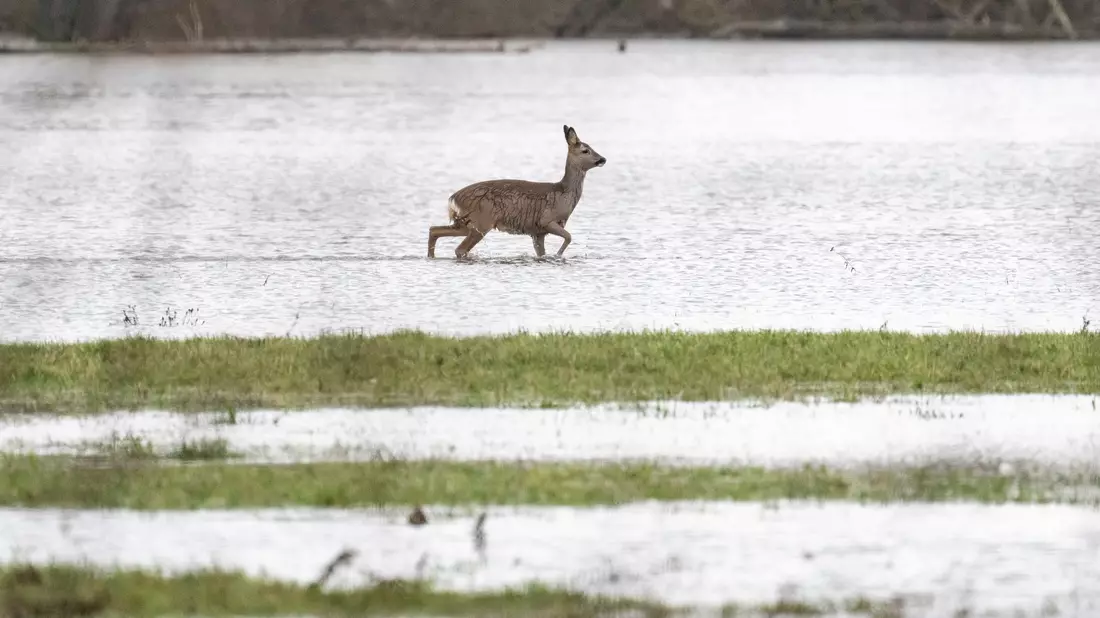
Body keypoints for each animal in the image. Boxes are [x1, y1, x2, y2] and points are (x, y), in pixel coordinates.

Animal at [427, 125, 606, 259]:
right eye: (585, 150)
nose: (603, 159)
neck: (564, 193)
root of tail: (453, 198)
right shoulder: (546, 220)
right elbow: (569, 236)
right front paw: (558, 255)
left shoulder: (537, 232)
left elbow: (541, 253)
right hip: (481, 222)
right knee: (460, 249)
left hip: (466, 222)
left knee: (434, 229)